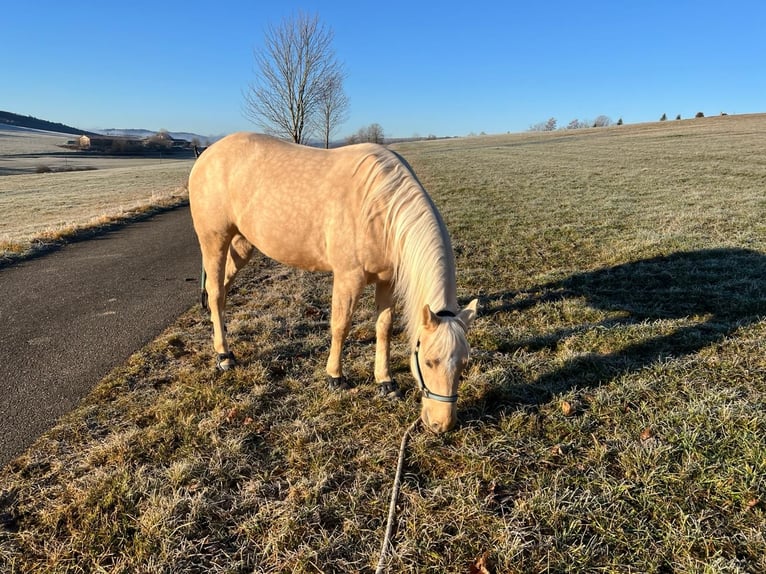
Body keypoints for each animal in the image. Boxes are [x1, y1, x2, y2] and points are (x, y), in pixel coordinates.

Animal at [188, 133, 477, 433]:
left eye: (464, 364)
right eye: (430, 362)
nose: (442, 424)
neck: (380, 208)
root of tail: (207, 154)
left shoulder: (387, 281)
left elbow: (384, 328)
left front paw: (385, 382)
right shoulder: (348, 277)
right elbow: (341, 326)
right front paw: (335, 377)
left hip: (243, 243)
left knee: (222, 289)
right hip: (214, 240)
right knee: (216, 293)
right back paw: (224, 355)